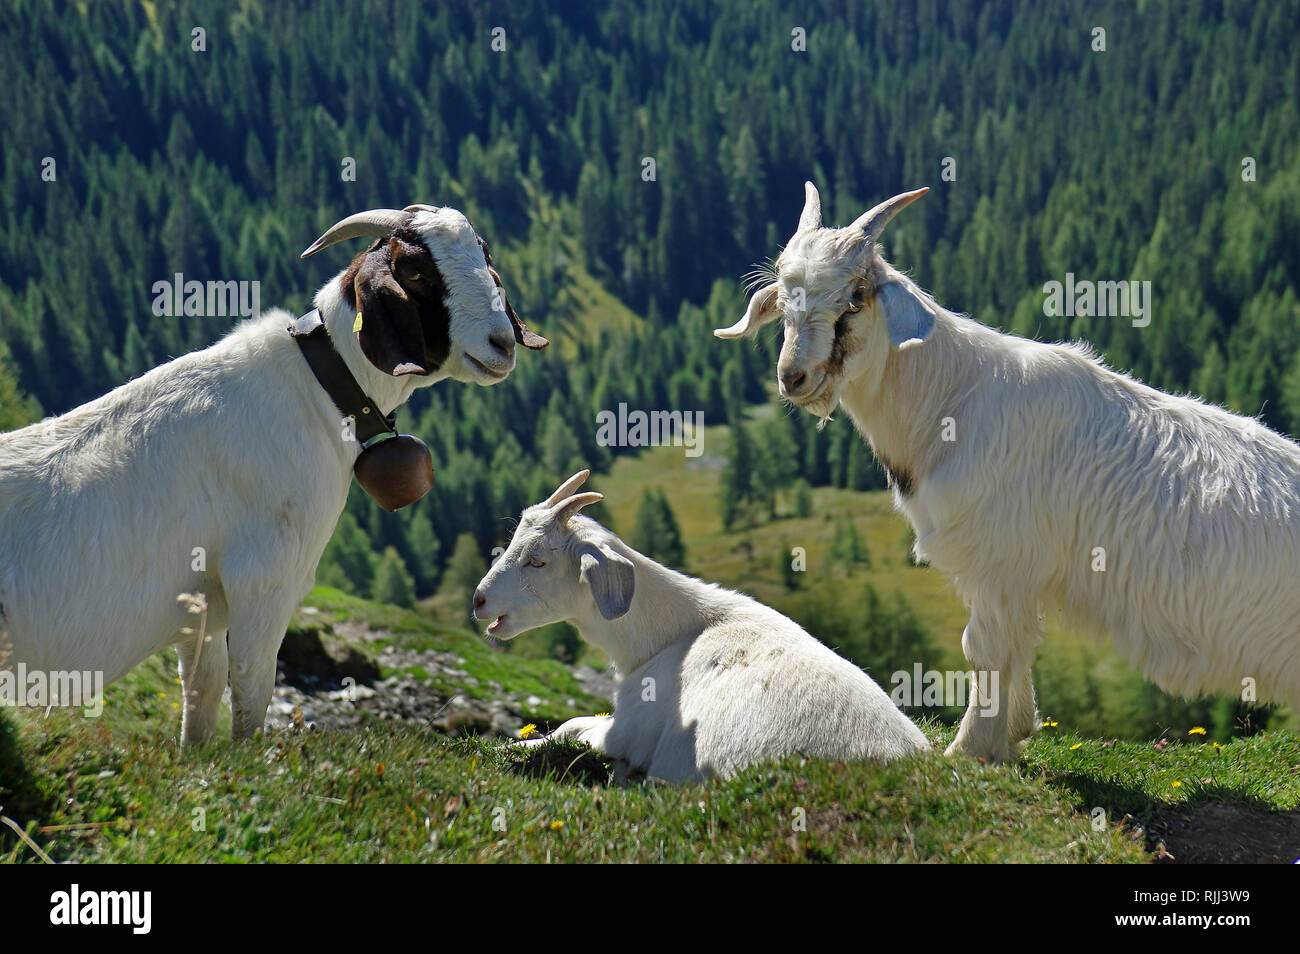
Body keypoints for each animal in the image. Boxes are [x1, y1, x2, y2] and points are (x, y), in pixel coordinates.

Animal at [0, 204, 545, 742]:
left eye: (485, 259)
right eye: (415, 271)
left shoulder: (201, 609)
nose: (502, 345)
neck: (314, 389)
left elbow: (201, 699)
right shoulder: (262, 581)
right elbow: (250, 697)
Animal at [472, 470, 930, 782]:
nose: (479, 601)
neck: (665, 638)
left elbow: (572, 726)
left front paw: (517, 743)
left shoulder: (625, 733)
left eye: (537, 561)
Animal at [716, 181, 1300, 763]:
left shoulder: (998, 561)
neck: (950, 396)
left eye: (854, 300)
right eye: (783, 303)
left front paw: (971, 749)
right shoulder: (1014, 574)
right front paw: (1013, 736)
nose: (794, 377)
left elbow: (986, 649)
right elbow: (1016, 647)